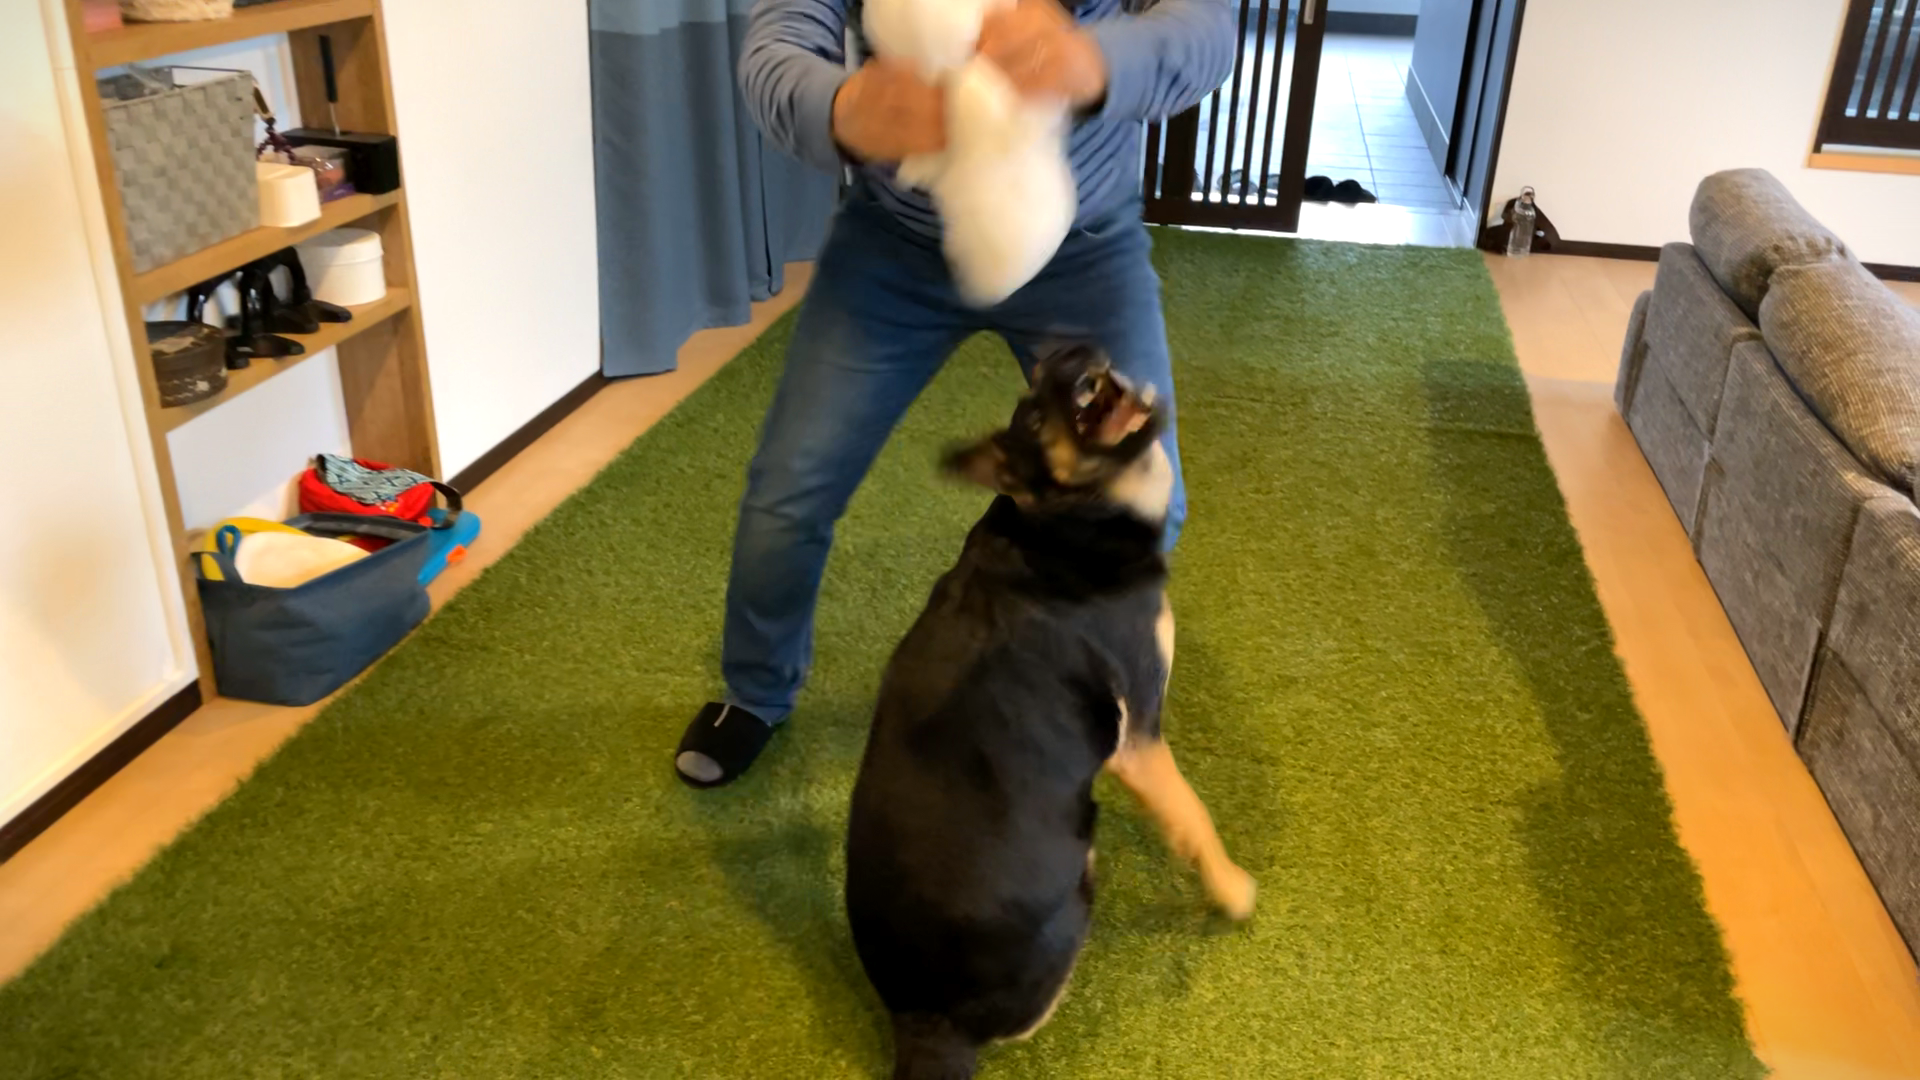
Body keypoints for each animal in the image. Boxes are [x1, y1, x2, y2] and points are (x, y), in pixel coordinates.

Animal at [844, 346, 1256, 1080]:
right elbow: (1194, 816)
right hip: (1077, 871)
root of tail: (920, 1020)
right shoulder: (1139, 734)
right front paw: (1230, 889)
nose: (1069, 349)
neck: (1069, 520)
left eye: (1043, 381)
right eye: (1036, 415)